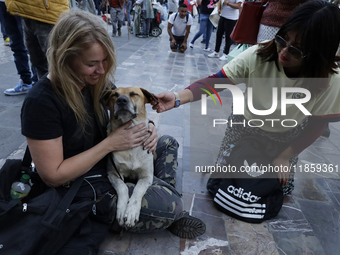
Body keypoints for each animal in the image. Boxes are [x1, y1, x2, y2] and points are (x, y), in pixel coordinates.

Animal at [106, 87, 157, 227]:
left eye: (134, 94)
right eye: (114, 95)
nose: (121, 100)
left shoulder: (146, 177)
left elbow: (138, 190)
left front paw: (131, 212)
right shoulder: (113, 174)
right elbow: (123, 187)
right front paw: (123, 210)